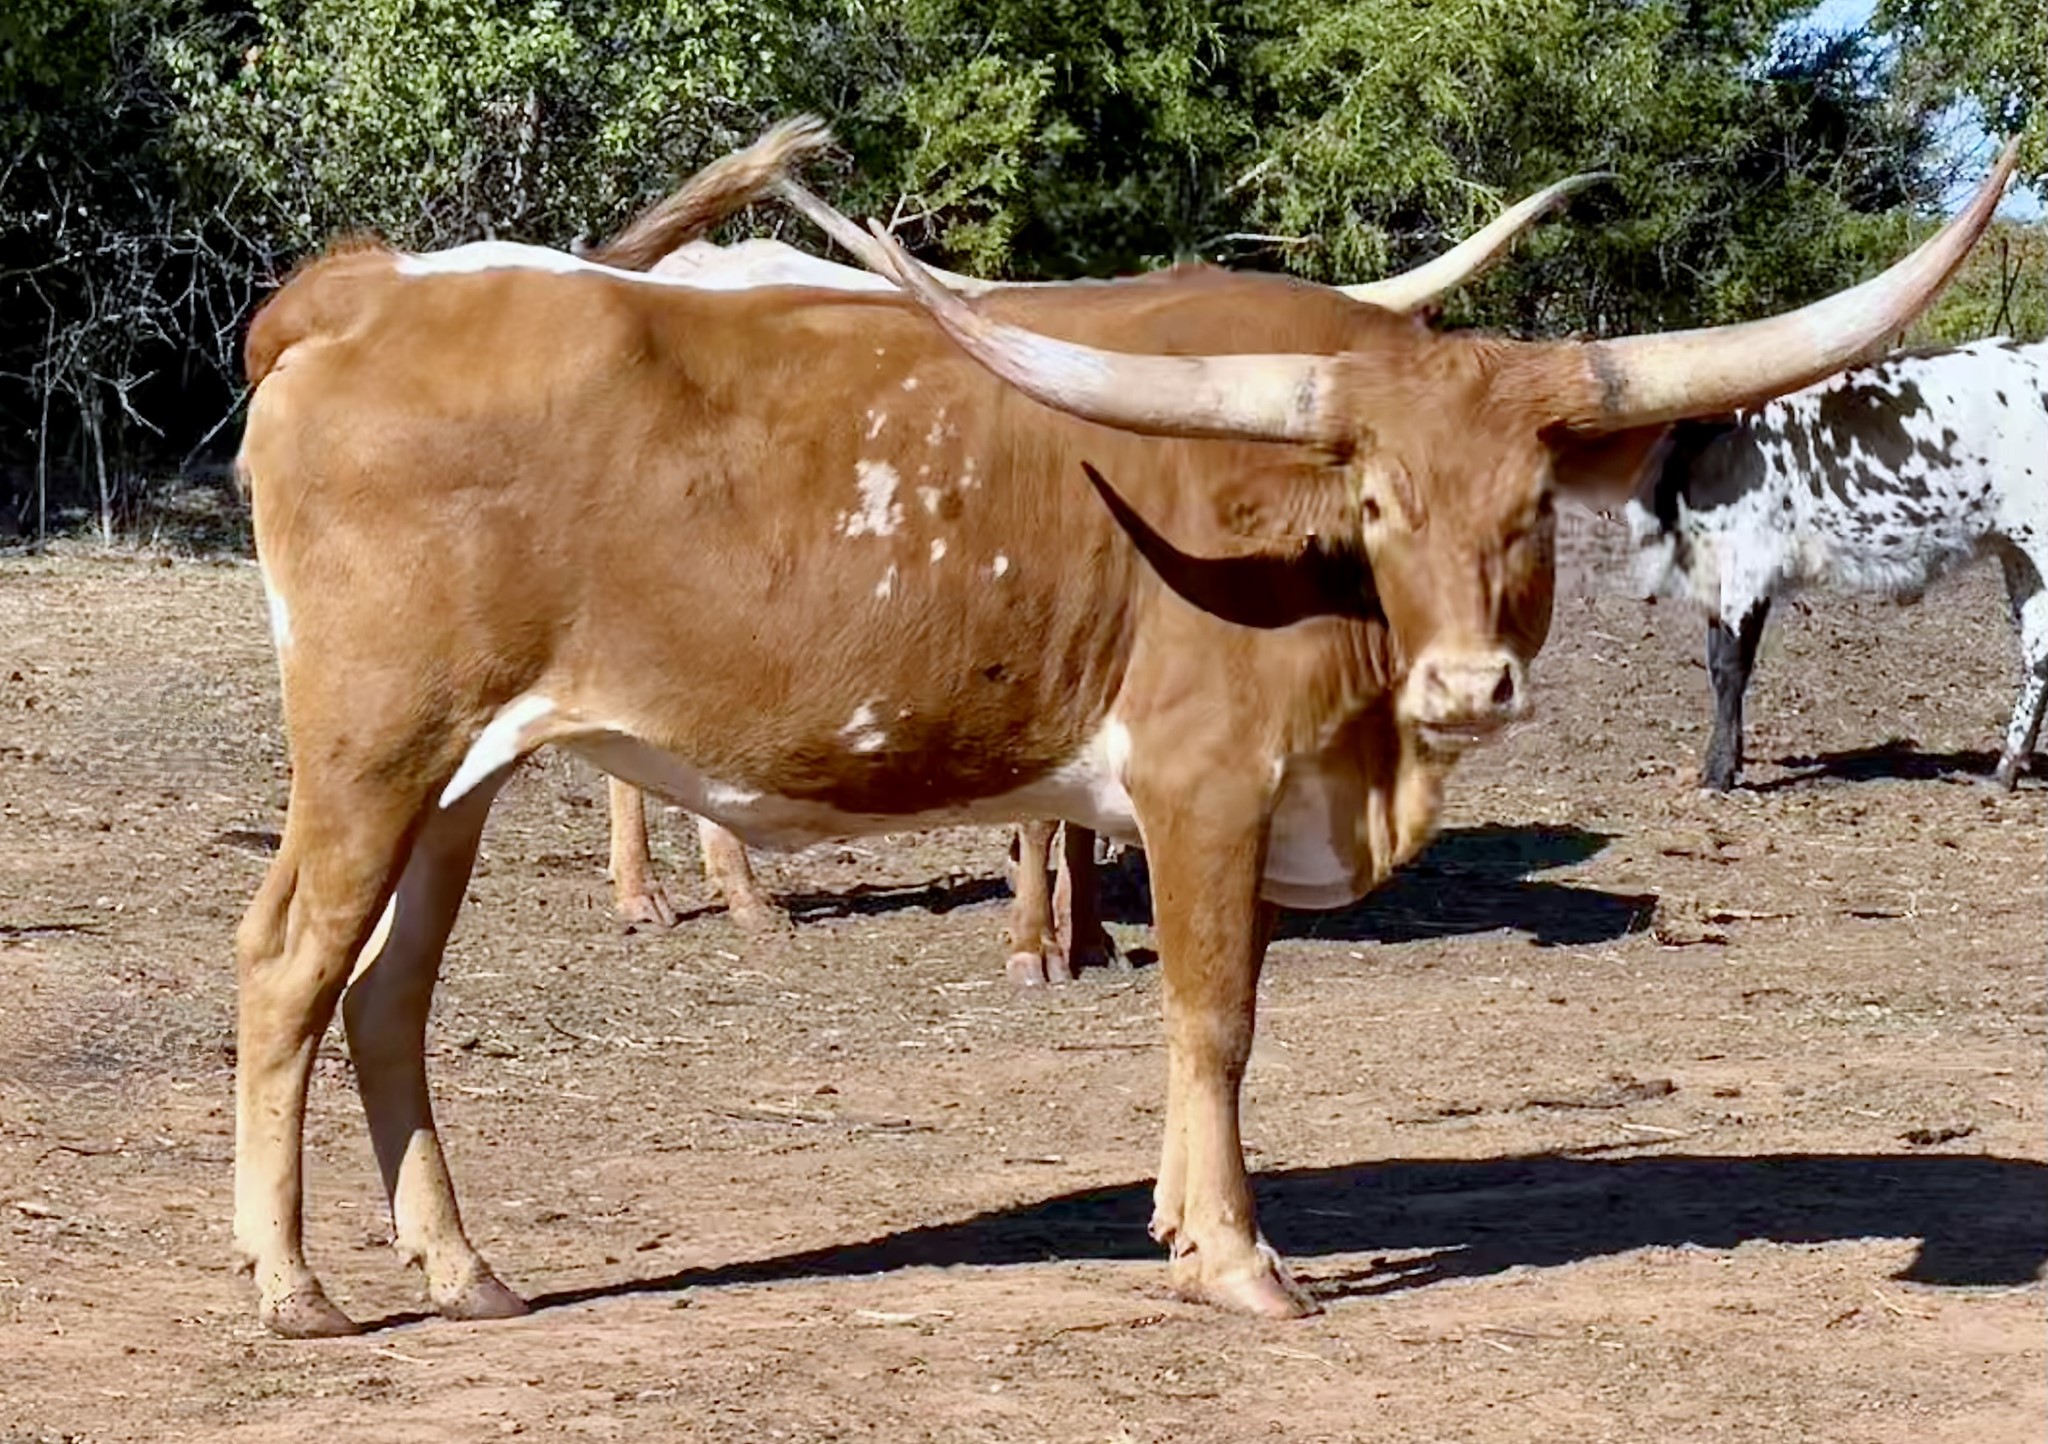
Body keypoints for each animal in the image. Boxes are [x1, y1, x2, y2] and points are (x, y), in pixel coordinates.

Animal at [1624, 337, 2048, 791]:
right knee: (2038, 650)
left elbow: (1729, 665)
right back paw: (2005, 771)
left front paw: (1717, 772)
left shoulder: (1748, 565)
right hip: (2017, 549)